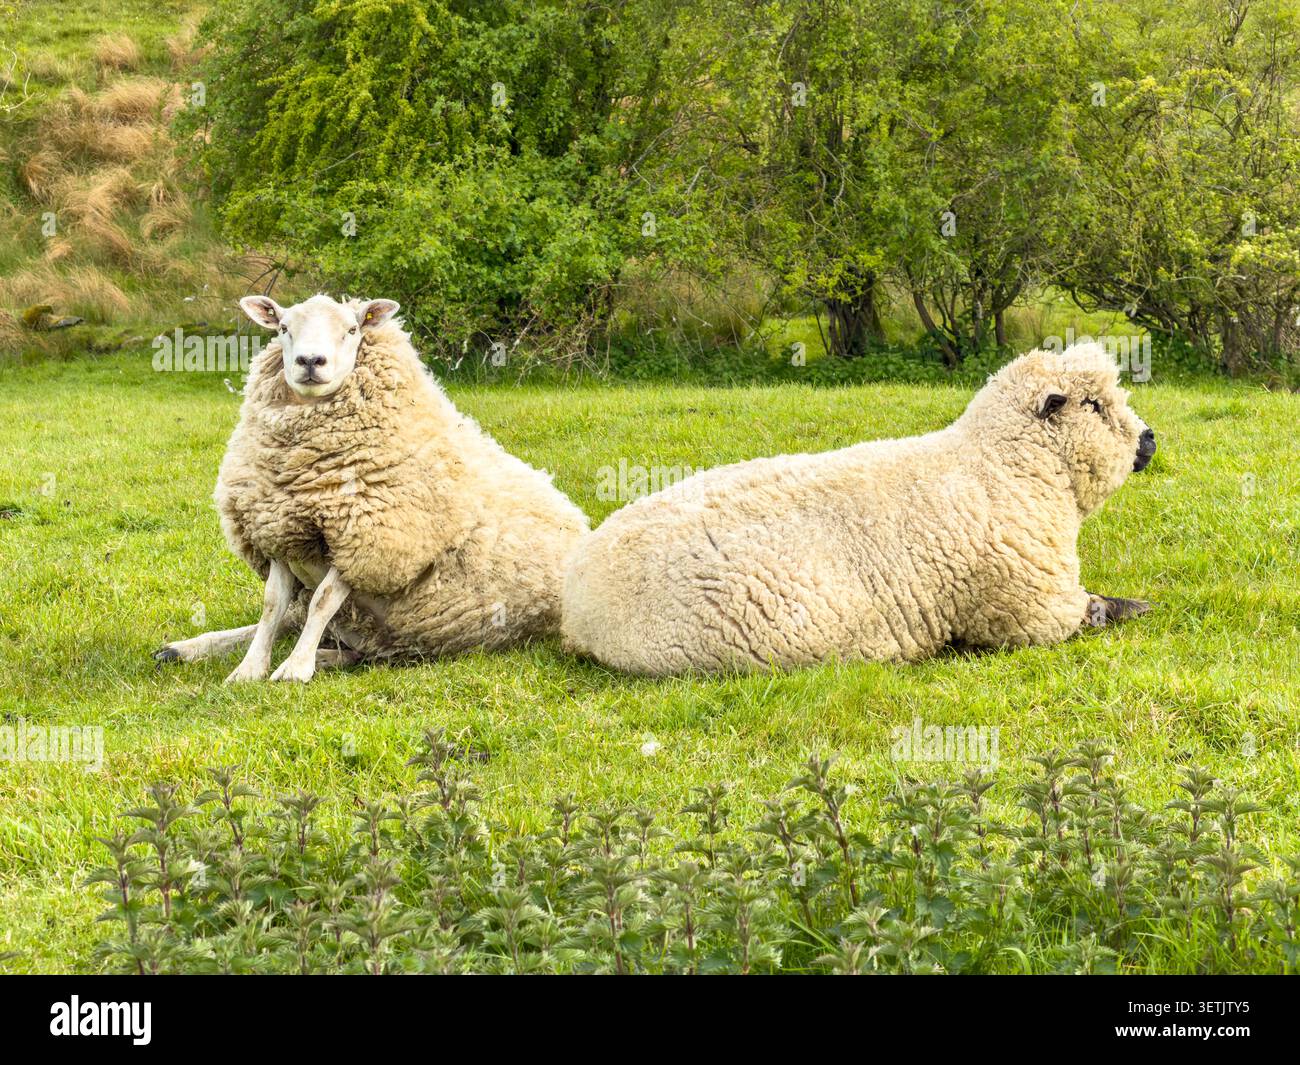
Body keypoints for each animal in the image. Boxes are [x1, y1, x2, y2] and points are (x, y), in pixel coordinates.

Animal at [155, 293, 589, 682]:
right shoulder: (277, 529)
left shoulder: (372, 541)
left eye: (352, 329)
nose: (310, 361)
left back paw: (319, 659)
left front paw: (295, 669)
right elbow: (272, 606)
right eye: (283, 328)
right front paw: (249, 669)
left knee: (352, 648)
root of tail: (577, 518)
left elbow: (322, 602)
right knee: (299, 622)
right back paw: (183, 649)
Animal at [561, 342, 1157, 676]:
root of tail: (576, 604)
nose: (1151, 440)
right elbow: (1089, 611)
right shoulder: (1028, 610)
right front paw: (1132, 606)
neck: (1000, 467)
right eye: (1095, 405)